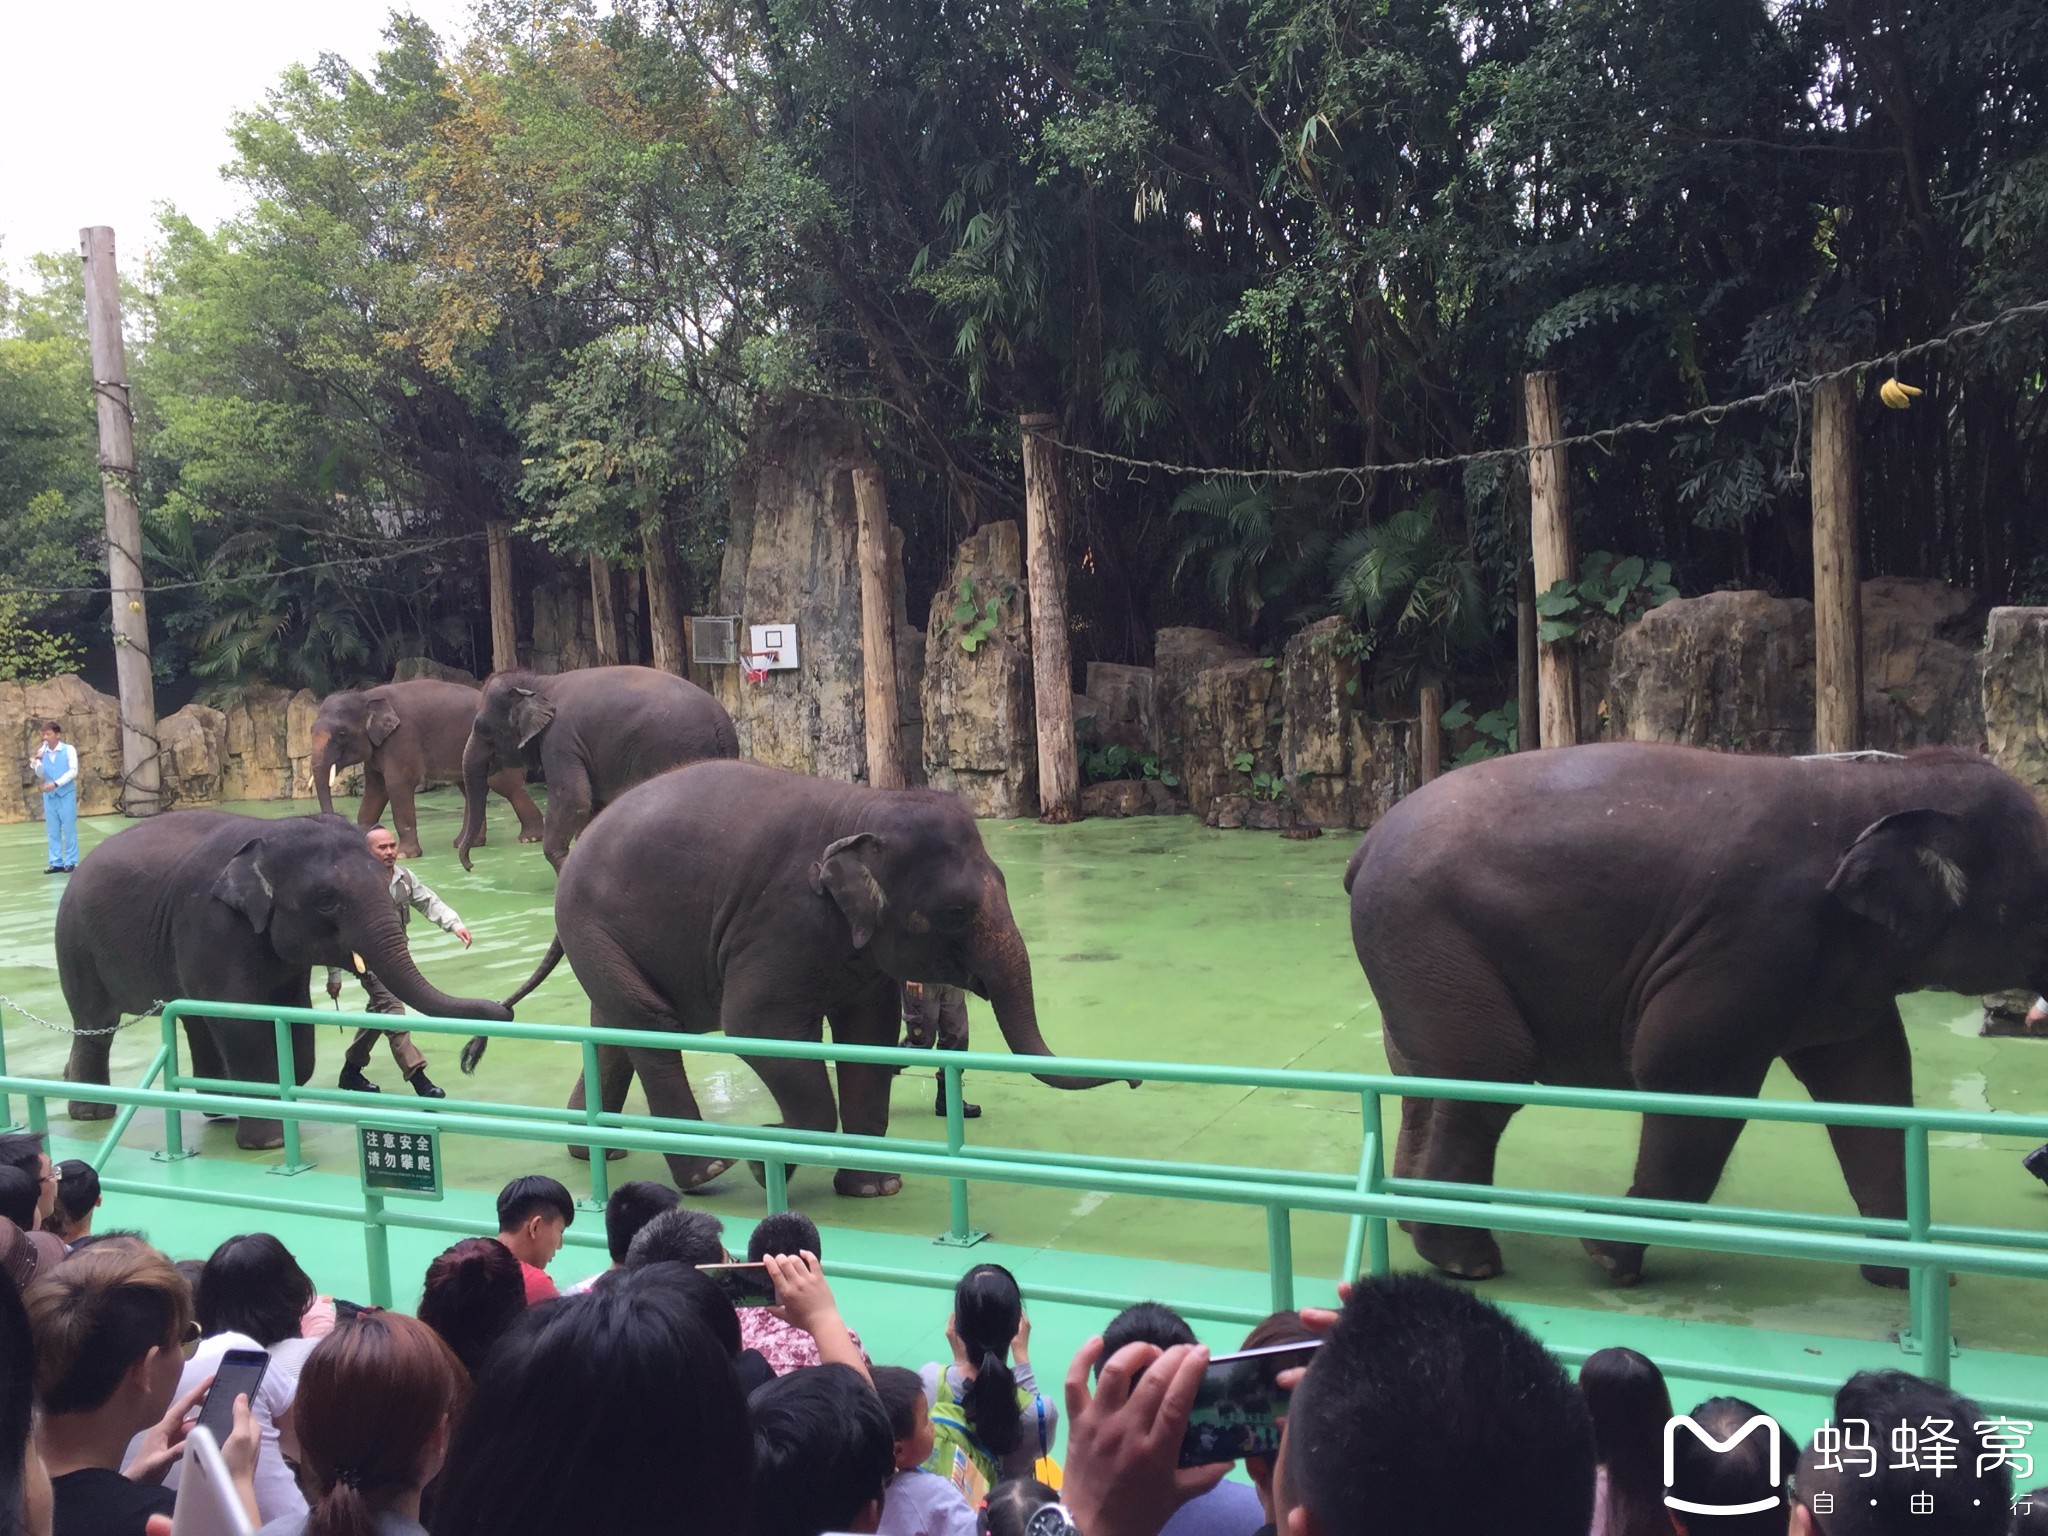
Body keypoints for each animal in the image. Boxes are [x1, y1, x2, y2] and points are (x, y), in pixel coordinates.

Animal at [58, 811, 512, 1146]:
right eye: (327, 901)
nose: (504, 1012)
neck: (267, 833)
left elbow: (295, 1022)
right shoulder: (211, 922)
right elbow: (242, 1022)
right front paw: (269, 1142)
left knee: (192, 1019)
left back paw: (219, 1111)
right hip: (77, 944)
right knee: (97, 1021)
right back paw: (91, 1112)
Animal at [307, 679, 540, 860]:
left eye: (342, 734)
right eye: (310, 731)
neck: (366, 695)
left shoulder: (402, 738)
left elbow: (397, 785)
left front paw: (405, 855)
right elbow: (375, 791)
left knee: (503, 784)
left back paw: (530, 838)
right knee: (469, 788)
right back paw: (466, 843)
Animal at [454, 667, 737, 872]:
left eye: (483, 729)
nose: (470, 866)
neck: (539, 682)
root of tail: (721, 722)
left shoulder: (560, 739)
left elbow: (573, 798)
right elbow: (593, 804)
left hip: (675, 748)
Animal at [466, 765, 1130, 1196]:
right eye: (957, 913)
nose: (1131, 1078)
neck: (863, 808)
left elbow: (868, 1036)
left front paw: (875, 1189)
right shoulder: (781, 920)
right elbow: (755, 1026)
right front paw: (766, 1157)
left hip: (603, 938)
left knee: (616, 1025)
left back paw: (597, 1150)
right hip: (592, 923)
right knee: (650, 1023)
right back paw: (707, 1173)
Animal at [1343, 741, 2048, 1294]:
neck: (1885, 781)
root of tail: (1368, 840)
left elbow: (1873, 1091)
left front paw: (1912, 1281)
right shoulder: (1751, 935)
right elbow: (1689, 1075)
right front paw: (1606, 1260)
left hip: (1413, 951)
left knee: (1421, 1075)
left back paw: (1418, 1228)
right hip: (1425, 928)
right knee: (1489, 1072)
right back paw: (1467, 1261)